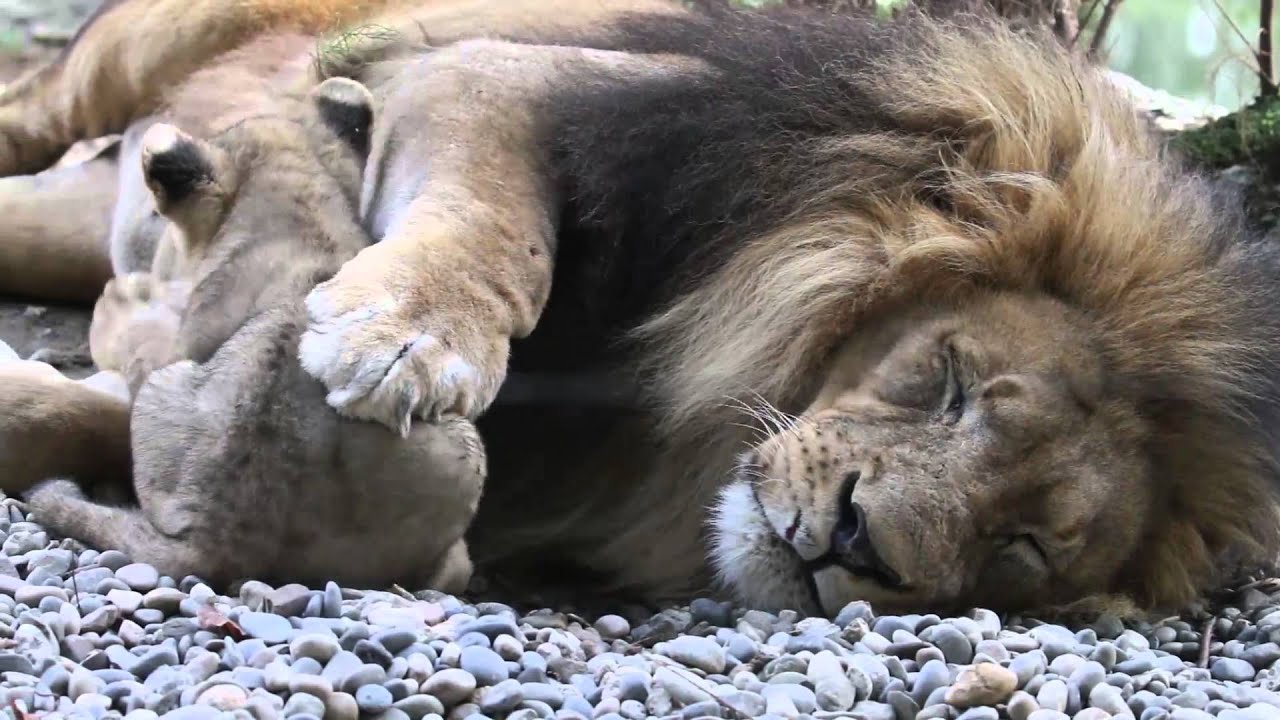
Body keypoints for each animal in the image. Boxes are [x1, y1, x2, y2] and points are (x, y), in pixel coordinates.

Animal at [4, 0, 1280, 617]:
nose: (858, 546)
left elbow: (98, 413)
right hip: (118, 69)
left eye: (1020, 546)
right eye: (953, 386)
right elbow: (496, 231)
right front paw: (407, 337)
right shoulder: (497, 81)